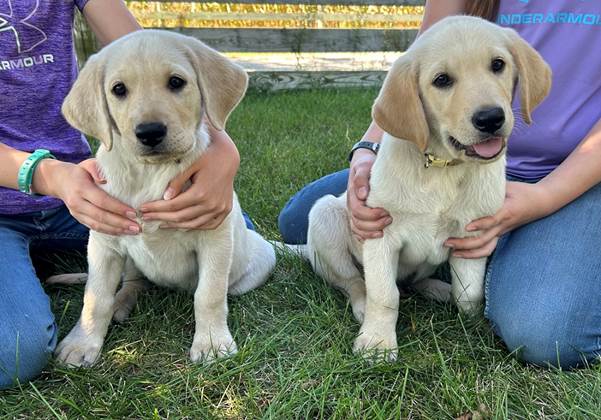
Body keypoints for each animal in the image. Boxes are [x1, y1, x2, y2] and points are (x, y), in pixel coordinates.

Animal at [55, 29, 276, 366]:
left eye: (176, 82)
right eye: (118, 89)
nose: (149, 132)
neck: (150, 173)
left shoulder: (214, 238)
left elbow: (208, 294)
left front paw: (212, 343)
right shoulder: (104, 243)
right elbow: (95, 298)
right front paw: (81, 343)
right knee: (133, 283)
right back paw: (120, 304)